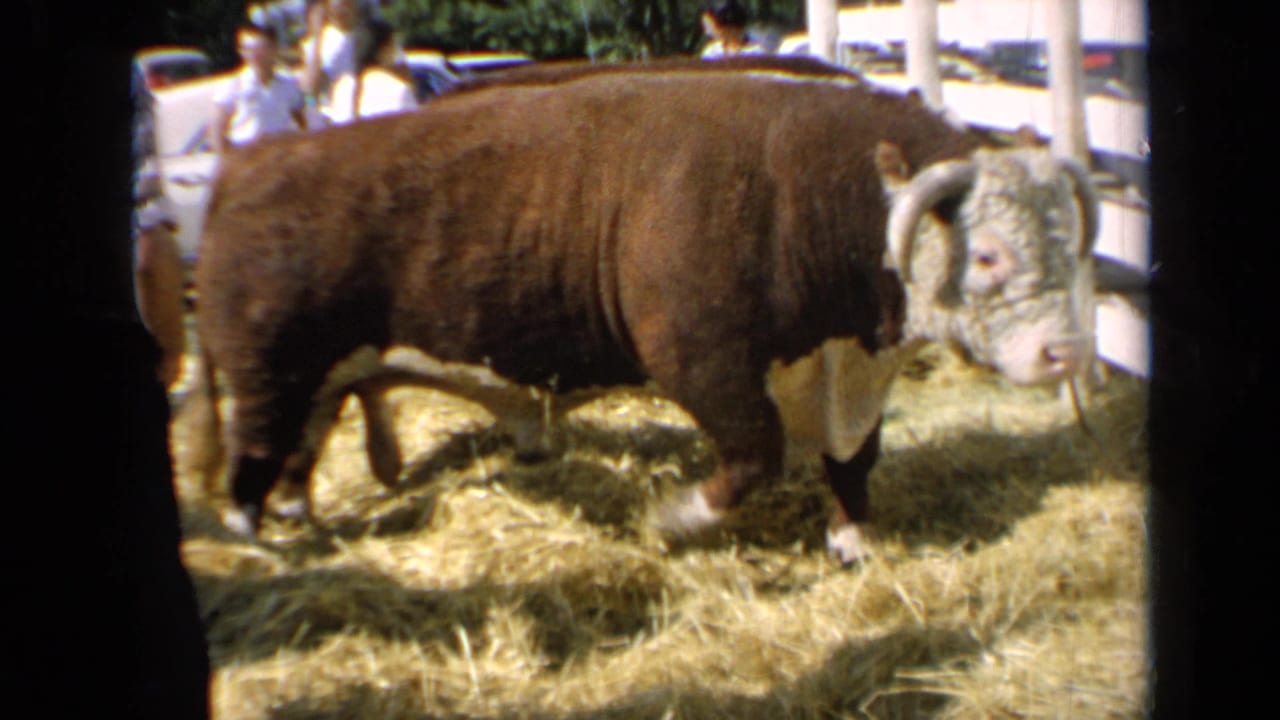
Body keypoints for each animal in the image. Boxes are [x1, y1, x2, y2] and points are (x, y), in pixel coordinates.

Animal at [188, 68, 1099, 564]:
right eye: (989, 256)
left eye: (1071, 244)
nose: (1068, 353)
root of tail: (253, 159)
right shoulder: (704, 362)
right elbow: (754, 459)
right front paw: (670, 519)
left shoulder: (842, 376)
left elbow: (852, 466)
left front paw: (852, 544)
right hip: (264, 376)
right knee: (248, 473)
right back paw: (265, 553)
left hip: (316, 379)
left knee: (298, 453)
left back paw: (301, 523)